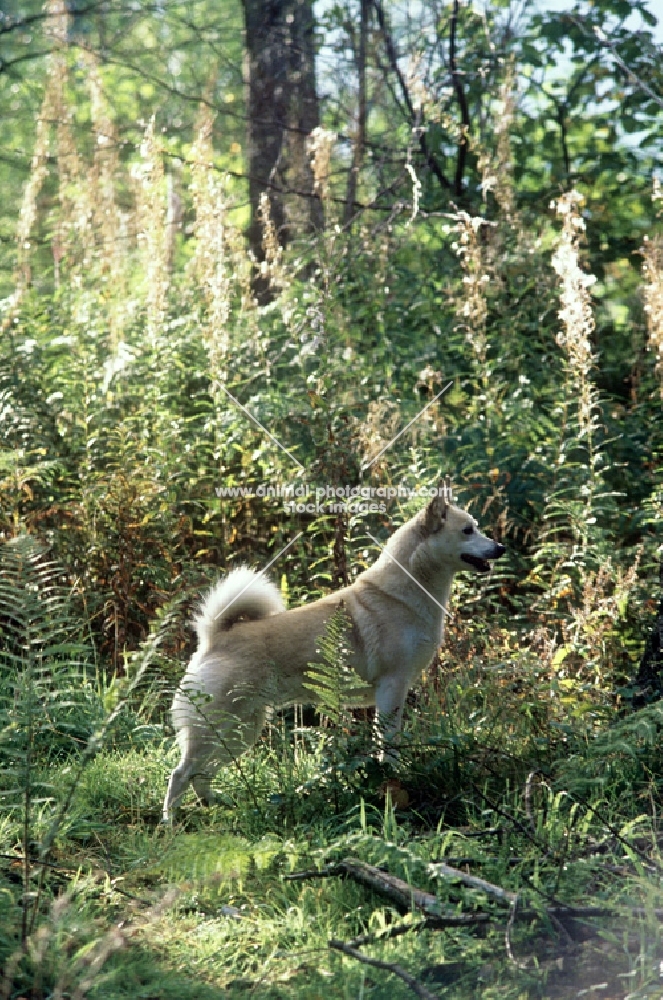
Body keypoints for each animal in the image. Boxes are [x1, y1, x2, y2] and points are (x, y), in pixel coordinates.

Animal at [163, 484, 506, 820]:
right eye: (468, 530)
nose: (501, 548)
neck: (406, 590)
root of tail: (214, 637)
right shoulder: (391, 687)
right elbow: (388, 744)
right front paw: (392, 779)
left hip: (240, 730)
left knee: (200, 775)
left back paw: (217, 806)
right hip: (221, 727)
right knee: (180, 774)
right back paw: (170, 822)